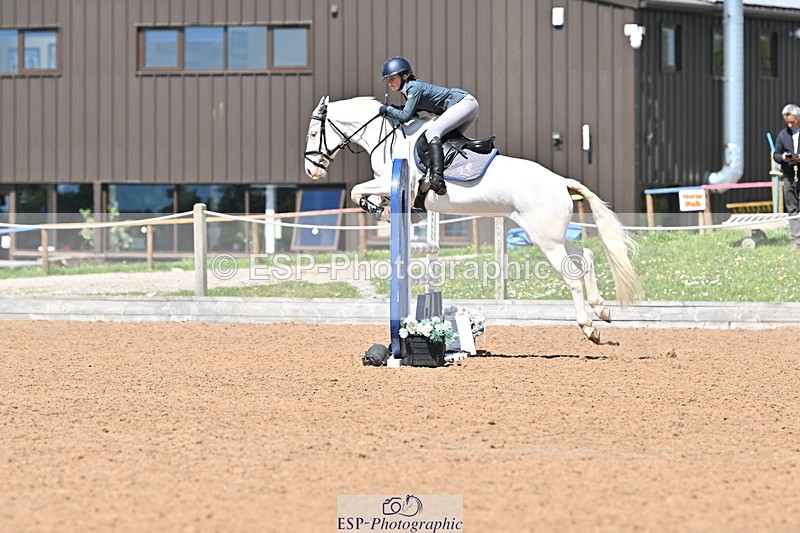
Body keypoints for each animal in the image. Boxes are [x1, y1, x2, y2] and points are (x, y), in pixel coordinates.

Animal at [303, 95, 643, 343]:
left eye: (313, 133)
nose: (311, 170)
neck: (387, 137)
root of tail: (561, 181)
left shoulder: (396, 182)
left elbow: (357, 190)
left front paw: (374, 207)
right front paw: (382, 209)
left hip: (546, 239)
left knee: (571, 274)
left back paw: (589, 327)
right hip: (550, 235)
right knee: (584, 256)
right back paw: (602, 309)